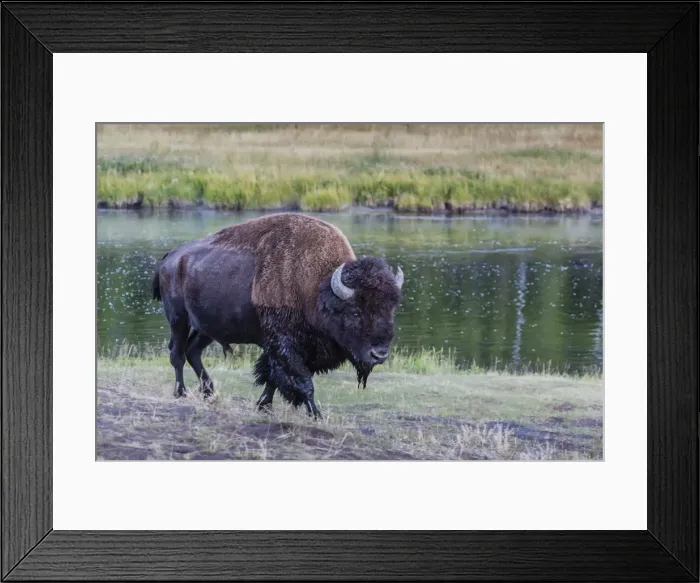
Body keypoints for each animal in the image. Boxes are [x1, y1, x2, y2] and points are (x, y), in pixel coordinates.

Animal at [152, 212, 404, 419]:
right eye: (354, 311)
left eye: (389, 309)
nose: (379, 354)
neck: (317, 288)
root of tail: (172, 256)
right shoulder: (284, 344)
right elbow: (302, 381)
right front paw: (316, 414)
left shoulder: (294, 348)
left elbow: (272, 377)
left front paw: (264, 406)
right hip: (178, 319)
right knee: (177, 353)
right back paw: (181, 393)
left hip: (207, 327)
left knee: (193, 350)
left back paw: (210, 394)